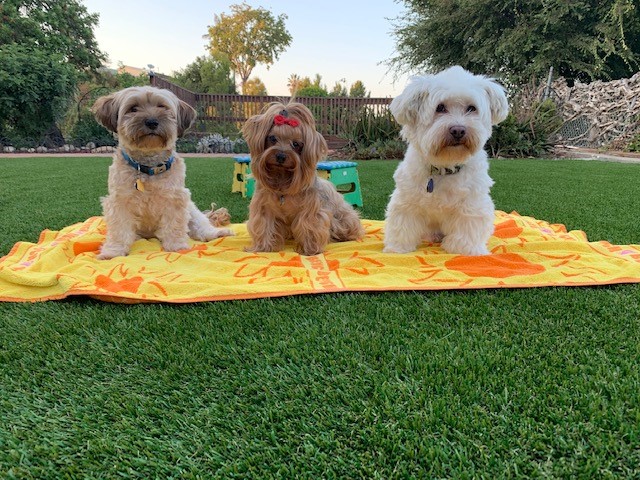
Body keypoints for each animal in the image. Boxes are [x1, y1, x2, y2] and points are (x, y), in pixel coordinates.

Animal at [92, 86, 233, 259]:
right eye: (133, 108)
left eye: (162, 106)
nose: (152, 122)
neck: (148, 167)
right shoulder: (119, 201)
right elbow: (119, 229)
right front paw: (113, 251)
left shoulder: (175, 199)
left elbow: (174, 226)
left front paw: (176, 246)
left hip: (192, 212)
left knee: (202, 227)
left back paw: (217, 233)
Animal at [242, 102, 364, 256]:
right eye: (272, 138)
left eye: (296, 144)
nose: (281, 156)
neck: (282, 178)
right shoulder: (264, 208)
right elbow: (265, 226)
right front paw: (263, 248)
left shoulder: (310, 210)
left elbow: (309, 226)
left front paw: (309, 250)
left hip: (344, 219)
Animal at [383, 66, 509, 256]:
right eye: (440, 107)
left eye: (471, 108)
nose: (458, 130)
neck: (444, 167)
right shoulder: (407, 200)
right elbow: (403, 224)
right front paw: (397, 248)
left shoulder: (472, 204)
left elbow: (467, 227)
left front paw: (465, 249)